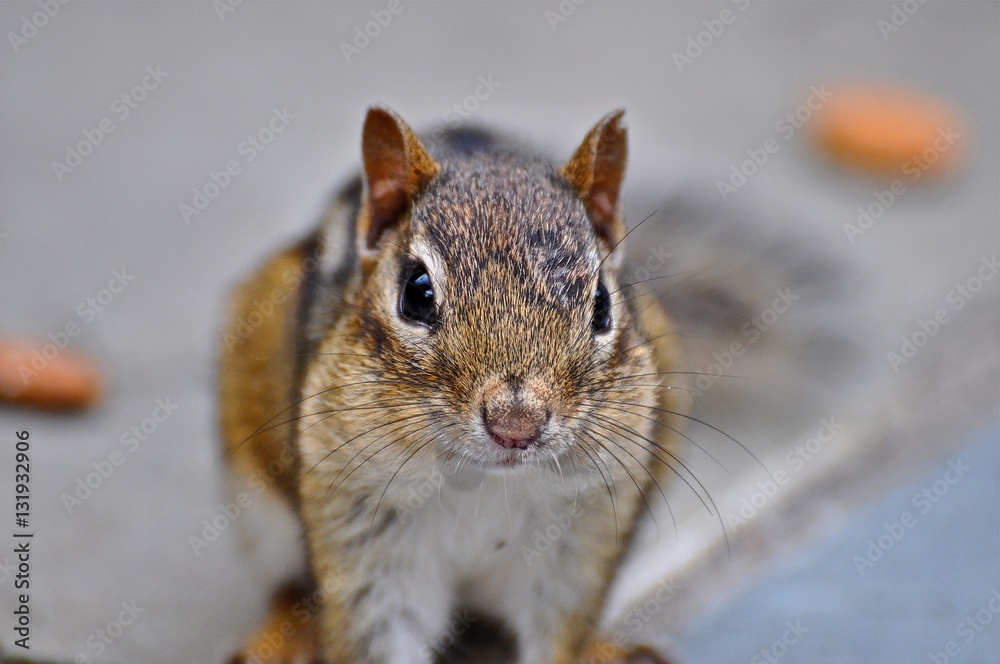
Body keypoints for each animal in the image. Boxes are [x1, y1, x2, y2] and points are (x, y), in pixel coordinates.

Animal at [219, 107, 687, 664]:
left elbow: (559, 629)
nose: (516, 425)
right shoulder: (363, 531)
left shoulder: (579, 537)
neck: (479, 480)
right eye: (416, 293)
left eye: (602, 305)